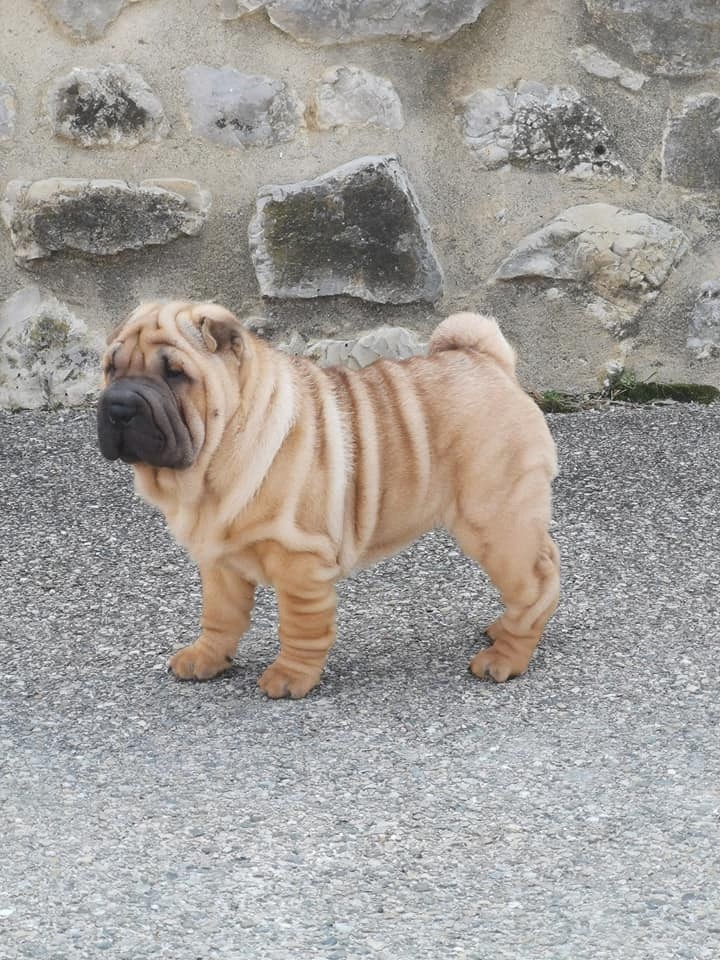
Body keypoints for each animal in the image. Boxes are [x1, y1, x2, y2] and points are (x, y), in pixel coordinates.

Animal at [97, 301, 560, 698]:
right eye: (110, 369)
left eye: (175, 374)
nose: (118, 406)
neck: (213, 460)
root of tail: (488, 361)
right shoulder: (219, 560)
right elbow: (219, 615)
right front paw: (206, 658)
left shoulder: (300, 562)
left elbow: (300, 627)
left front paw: (289, 678)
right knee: (546, 563)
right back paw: (504, 628)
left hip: (495, 523)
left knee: (534, 584)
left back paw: (503, 658)